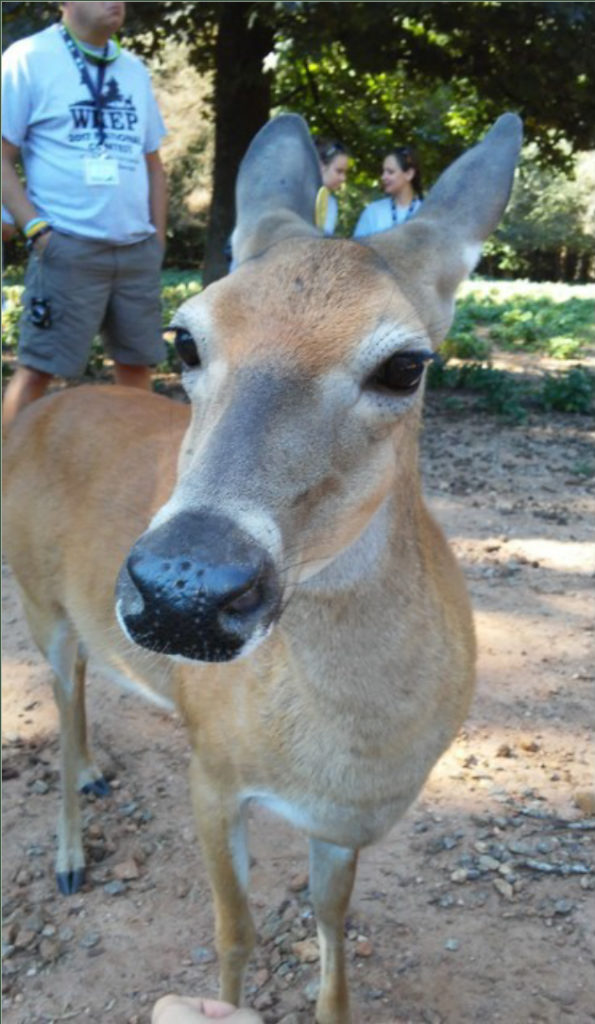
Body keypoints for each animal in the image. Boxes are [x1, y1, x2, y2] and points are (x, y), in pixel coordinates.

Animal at [2, 114, 520, 1024]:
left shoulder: (338, 822)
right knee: (60, 711)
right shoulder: (211, 771)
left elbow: (331, 924)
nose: (183, 588)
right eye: (184, 337)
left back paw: (100, 770)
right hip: (37, 598)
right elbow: (235, 933)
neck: (343, 749)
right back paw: (68, 853)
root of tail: (42, 410)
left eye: (405, 364)